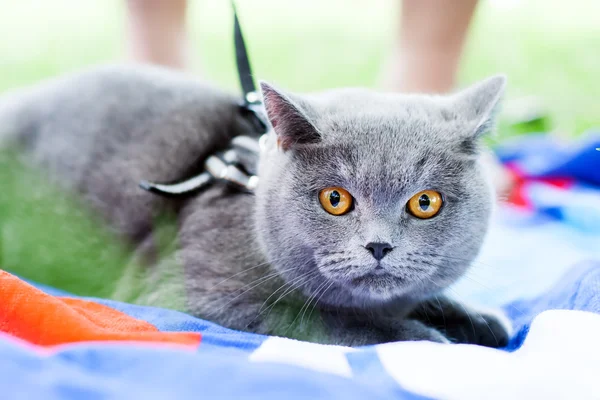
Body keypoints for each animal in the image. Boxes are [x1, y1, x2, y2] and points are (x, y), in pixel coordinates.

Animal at [2, 64, 512, 346]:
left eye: (426, 202)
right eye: (335, 199)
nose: (379, 246)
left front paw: (479, 321)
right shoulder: (185, 292)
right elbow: (318, 318)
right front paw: (423, 337)